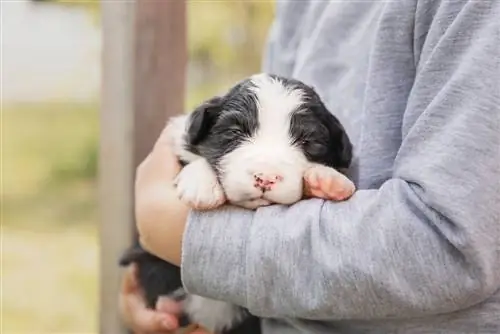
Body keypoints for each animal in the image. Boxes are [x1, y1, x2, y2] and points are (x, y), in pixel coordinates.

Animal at [120, 73, 356, 334]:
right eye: (234, 133)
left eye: (308, 141)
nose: (265, 177)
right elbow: (195, 158)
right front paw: (201, 185)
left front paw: (326, 179)